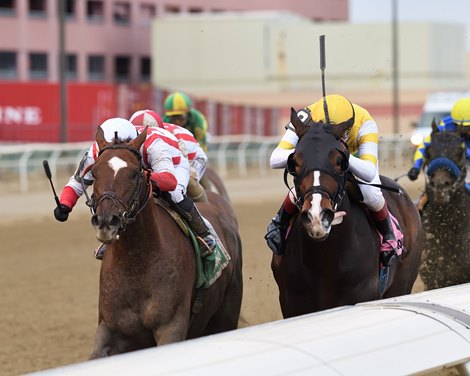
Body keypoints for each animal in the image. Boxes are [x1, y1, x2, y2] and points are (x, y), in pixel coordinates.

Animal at [88, 127, 244, 358]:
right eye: (95, 173)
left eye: (134, 174)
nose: (106, 221)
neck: (135, 265)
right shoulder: (109, 328)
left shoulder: (171, 326)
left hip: (226, 316)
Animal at [272, 108, 422, 318]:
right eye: (296, 162)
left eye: (339, 162)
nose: (317, 217)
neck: (324, 262)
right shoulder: (292, 304)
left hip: (403, 282)